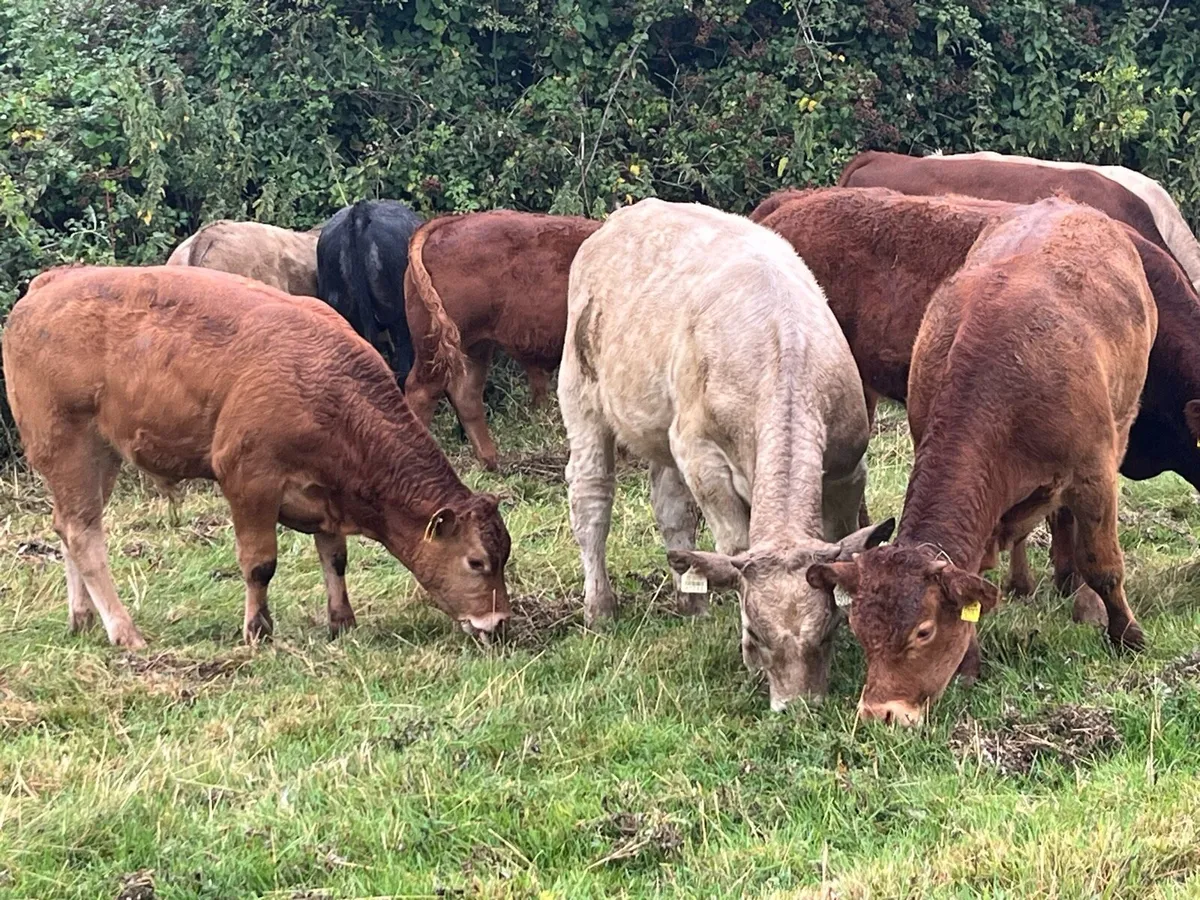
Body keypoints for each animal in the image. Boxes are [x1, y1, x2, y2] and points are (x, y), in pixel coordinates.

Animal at [2, 266, 512, 650]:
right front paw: (258, 630)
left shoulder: (326, 490)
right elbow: (260, 563)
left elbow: (335, 557)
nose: (500, 621)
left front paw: (342, 620)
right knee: (82, 535)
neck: (328, 390)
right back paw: (125, 631)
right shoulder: (249, 480)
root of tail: (51, 284)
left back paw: (83, 617)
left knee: (70, 525)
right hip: (69, 446)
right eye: (476, 563)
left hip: (100, 457)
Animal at [404, 211, 601, 470]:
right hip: (435, 352)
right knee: (421, 394)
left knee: (466, 394)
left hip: (474, 347)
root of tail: (451, 221)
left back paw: (491, 461)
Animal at [559, 198, 893, 710]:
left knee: (671, 508)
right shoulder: (703, 457)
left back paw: (691, 600)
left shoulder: (847, 465)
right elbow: (734, 546)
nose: (798, 707)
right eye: (757, 635)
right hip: (581, 394)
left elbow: (843, 537)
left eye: (828, 632)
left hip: (663, 429)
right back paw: (600, 607)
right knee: (591, 499)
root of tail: (625, 216)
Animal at [806, 199, 1158, 725]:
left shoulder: (1093, 473)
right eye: (860, 630)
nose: (880, 712)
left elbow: (1104, 564)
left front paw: (1126, 635)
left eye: (923, 631)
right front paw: (969, 664)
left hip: (1123, 418)